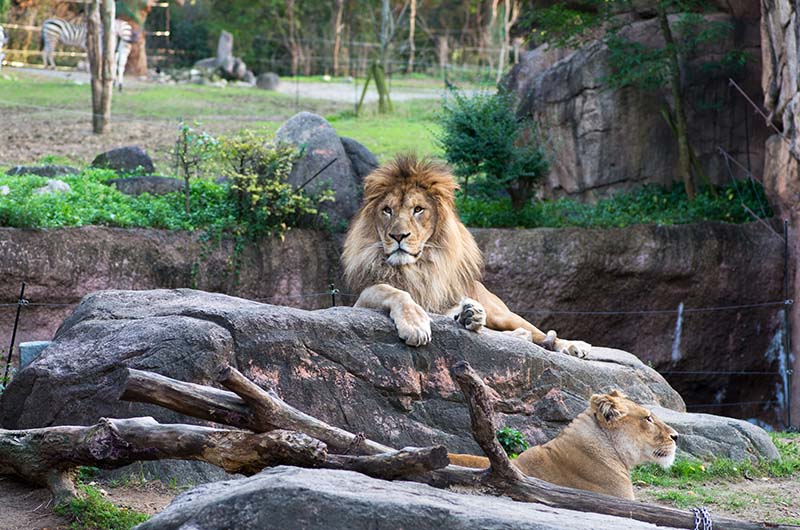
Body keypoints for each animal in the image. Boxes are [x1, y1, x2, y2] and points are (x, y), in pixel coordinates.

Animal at [340, 155, 592, 356]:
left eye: (418, 209)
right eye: (387, 210)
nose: (398, 236)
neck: (417, 268)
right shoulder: (360, 300)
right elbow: (394, 291)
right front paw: (416, 324)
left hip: (503, 313)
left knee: (535, 332)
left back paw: (572, 345)